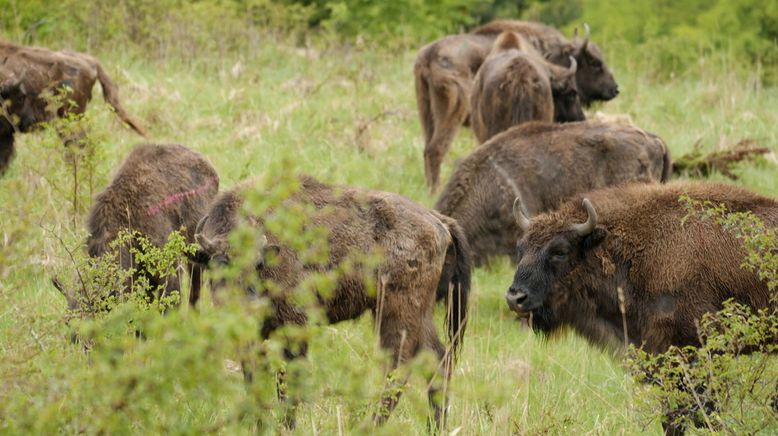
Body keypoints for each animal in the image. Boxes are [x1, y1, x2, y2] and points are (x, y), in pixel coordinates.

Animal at [192, 176, 472, 430]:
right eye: (219, 264)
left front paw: (287, 426)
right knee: (439, 361)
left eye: (258, 264)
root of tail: (439, 222)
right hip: (420, 316)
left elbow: (288, 380)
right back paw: (435, 427)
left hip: (396, 315)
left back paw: (371, 426)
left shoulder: (296, 327)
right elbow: (254, 378)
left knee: (399, 370)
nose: (248, 303)